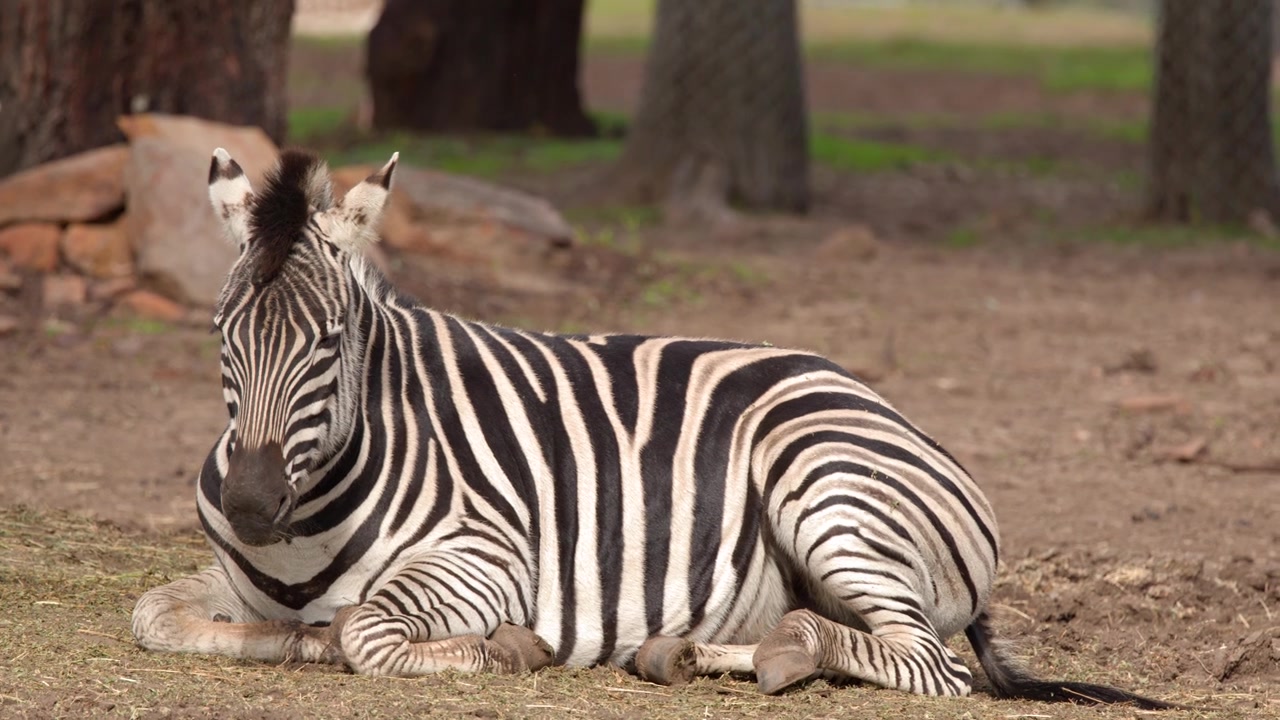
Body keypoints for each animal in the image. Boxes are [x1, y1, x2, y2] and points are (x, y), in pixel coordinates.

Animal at [131, 148, 1171, 709]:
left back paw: (790, 650)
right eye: (222, 334)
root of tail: (888, 410)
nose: (253, 502)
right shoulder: (228, 576)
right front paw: (288, 635)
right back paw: (686, 652)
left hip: (823, 482)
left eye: (331, 341)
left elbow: (368, 635)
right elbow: (159, 617)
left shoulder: (487, 558)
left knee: (926, 662)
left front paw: (502, 647)